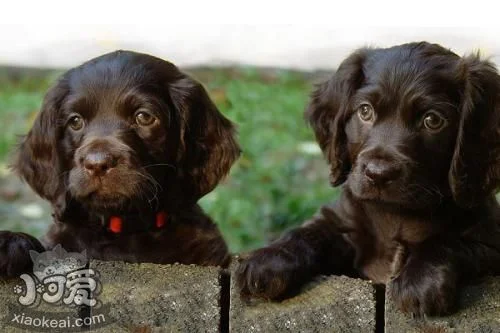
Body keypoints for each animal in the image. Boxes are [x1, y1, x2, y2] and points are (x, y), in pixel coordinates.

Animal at [235, 42, 500, 316]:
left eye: (432, 120)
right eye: (365, 111)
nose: (378, 173)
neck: (395, 214)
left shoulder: (490, 241)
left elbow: (450, 241)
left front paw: (419, 281)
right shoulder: (342, 224)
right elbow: (308, 232)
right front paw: (269, 260)